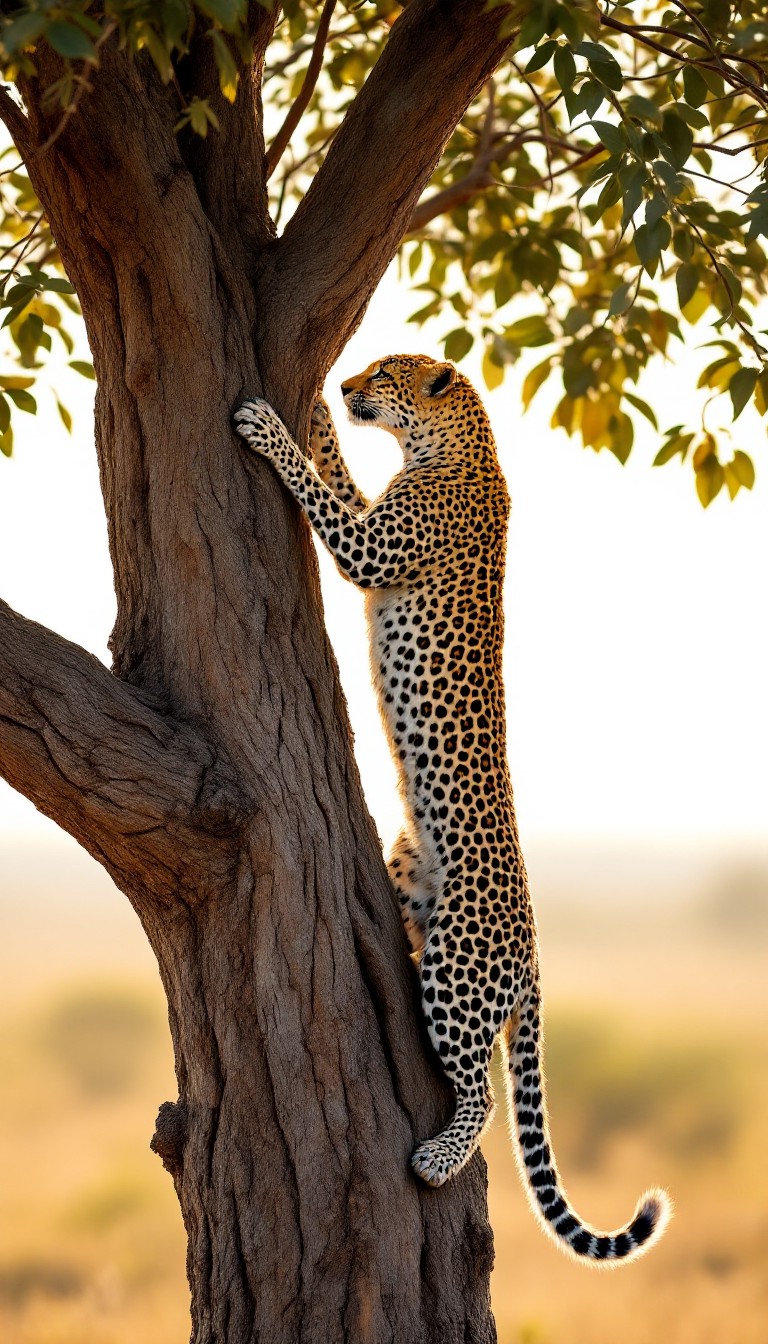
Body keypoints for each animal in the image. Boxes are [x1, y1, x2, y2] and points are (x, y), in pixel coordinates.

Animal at [233, 354, 671, 1264]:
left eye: (387, 372)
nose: (349, 383)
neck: (453, 445)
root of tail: (532, 953)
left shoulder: (371, 548)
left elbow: (319, 492)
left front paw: (270, 426)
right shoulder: (375, 513)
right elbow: (340, 473)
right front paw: (319, 416)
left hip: (457, 973)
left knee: (486, 1093)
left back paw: (437, 1158)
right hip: (412, 877)